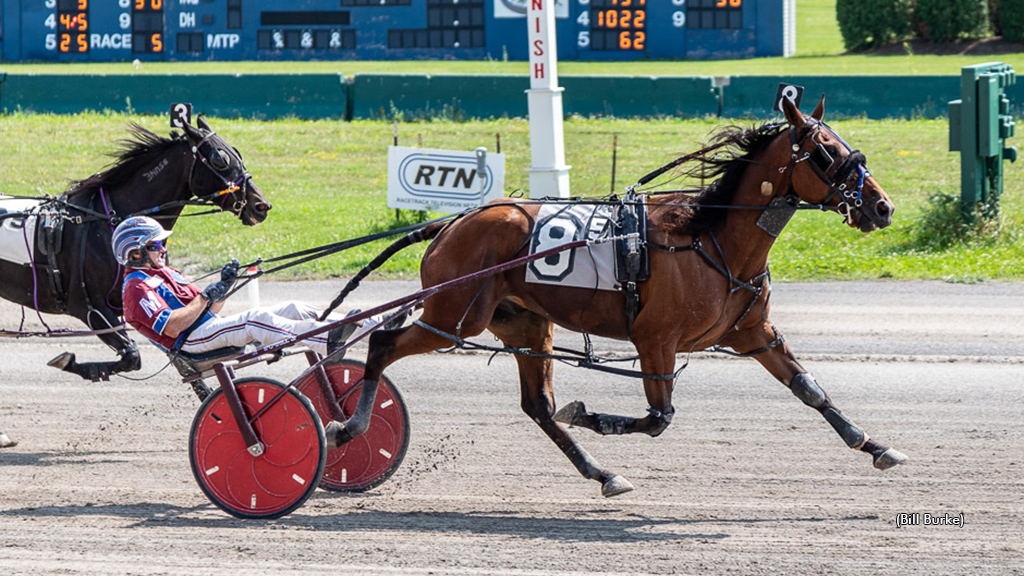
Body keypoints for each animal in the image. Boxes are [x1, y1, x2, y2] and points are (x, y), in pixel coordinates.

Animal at [0, 114, 272, 379]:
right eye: (219, 159)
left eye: (236, 152)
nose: (261, 205)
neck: (108, 222)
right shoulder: (89, 306)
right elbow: (131, 356)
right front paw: (77, 365)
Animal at [325, 94, 905, 494]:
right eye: (825, 152)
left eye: (845, 146)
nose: (883, 207)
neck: (711, 237)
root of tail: (451, 223)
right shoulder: (655, 340)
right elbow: (658, 418)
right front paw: (588, 413)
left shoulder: (753, 332)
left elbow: (809, 390)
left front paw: (875, 444)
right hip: (453, 316)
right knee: (382, 345)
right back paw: (348, 425)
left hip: (523, 321)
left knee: (537, 405)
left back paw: (601, 473)